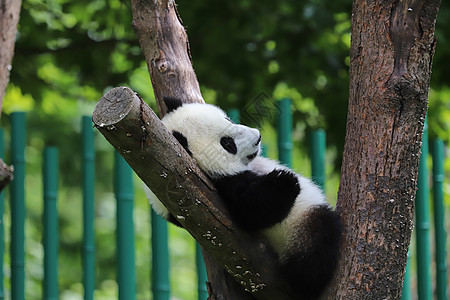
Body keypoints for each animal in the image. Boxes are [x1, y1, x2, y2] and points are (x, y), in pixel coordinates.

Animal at [147, 97, 342, 298]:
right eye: (228, 144)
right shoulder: (216, 188)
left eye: (228, 119)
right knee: (316, 244)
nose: (258, 137)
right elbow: (255, 211)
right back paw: (306, 283)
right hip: (301, 226)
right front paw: (284, 181)